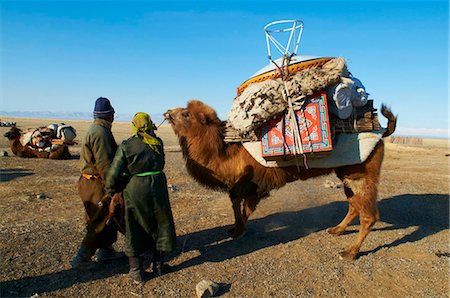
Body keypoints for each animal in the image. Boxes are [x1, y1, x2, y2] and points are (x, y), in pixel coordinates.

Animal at [165, 99, 398, 260]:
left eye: (185, 114)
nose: (167, 112)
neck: (225, 153)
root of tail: (382, 132)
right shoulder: (239, 185)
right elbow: (235, 204)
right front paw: (233, 229)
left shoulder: (256, 185)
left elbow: (246, 209)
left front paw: (239, 231)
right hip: (347, 175)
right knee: (354, 205)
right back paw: (336, 230)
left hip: (363, 173)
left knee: (369, 214)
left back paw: (350, 252)